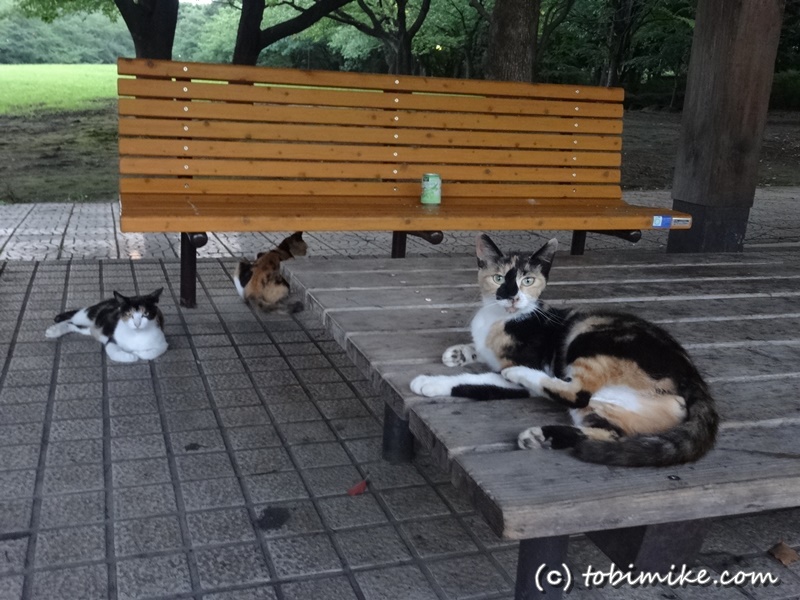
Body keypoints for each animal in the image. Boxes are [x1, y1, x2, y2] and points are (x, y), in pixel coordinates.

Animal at [412, 234, 720, 468]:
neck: (499, 319)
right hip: (623, 405)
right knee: (610, 432)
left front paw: (430, 382)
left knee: (577, 392)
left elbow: (478, 381)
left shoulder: (524, 362)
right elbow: (476, 349)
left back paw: (522, 378)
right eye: (498, 278)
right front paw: (458, 353)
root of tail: (693, 377)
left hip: (589, 334)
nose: (512, 296)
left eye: (528, 281)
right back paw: (541, 436)